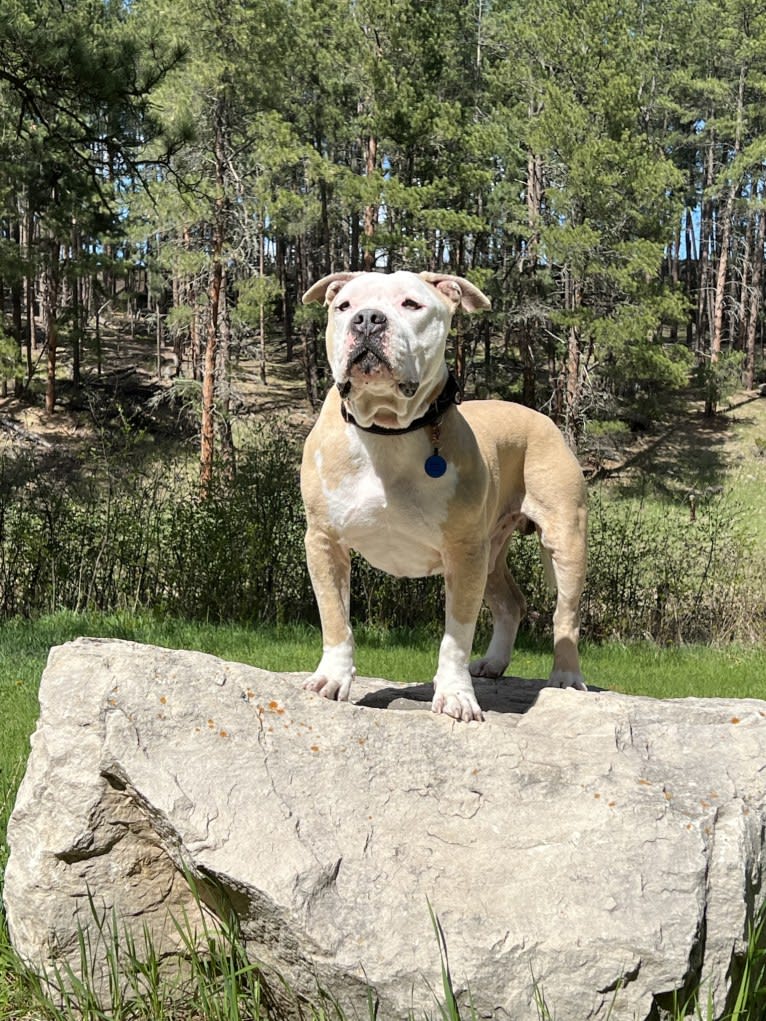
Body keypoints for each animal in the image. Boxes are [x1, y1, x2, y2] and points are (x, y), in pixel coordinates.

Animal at [300, 267, 588, 722]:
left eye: (411, 304)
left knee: (566, 613)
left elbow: (456, 636)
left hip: (564, 540)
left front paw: (455, 696)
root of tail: (540, 416)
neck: (387, 430)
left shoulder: (463, 553)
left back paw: (565, 677)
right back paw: (493, 664)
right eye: (343, 306)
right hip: (491, 551)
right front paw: (332, 678)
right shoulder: (324, 540)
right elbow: (334, 617)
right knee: (511, 602)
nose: (367, 319)